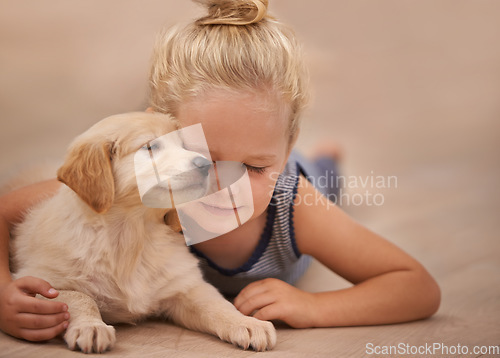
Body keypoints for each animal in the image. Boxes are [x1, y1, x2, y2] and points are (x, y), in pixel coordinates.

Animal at [10, 112, 278, 352]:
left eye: (184, 145)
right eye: (150, 146)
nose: (205, 165)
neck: (133, 232)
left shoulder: (185, 286)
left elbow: (218, 306)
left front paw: (248, 323)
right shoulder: (39, 278)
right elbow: (79, 297)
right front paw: (91, 327)